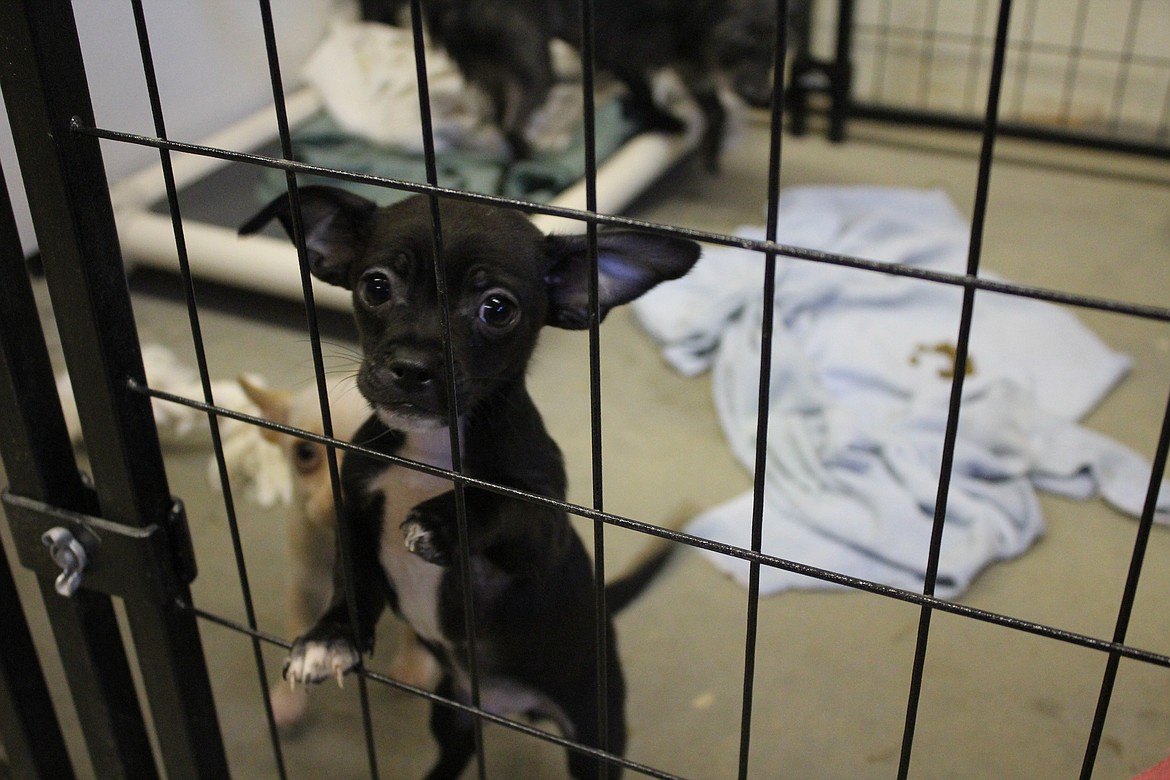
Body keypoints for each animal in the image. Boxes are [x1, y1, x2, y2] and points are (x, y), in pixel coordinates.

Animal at [237, 185, 692, 776]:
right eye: (375, 286)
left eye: (497, 309)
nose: (411, 367)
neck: (432, 449)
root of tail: (510, 707)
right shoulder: (354, 511)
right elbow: (352, 581)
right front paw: (330, 638)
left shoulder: (543, 535)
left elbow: (509, 503)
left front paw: (443, 519)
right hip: (451, 710)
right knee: (455, 752)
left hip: (594, 733)